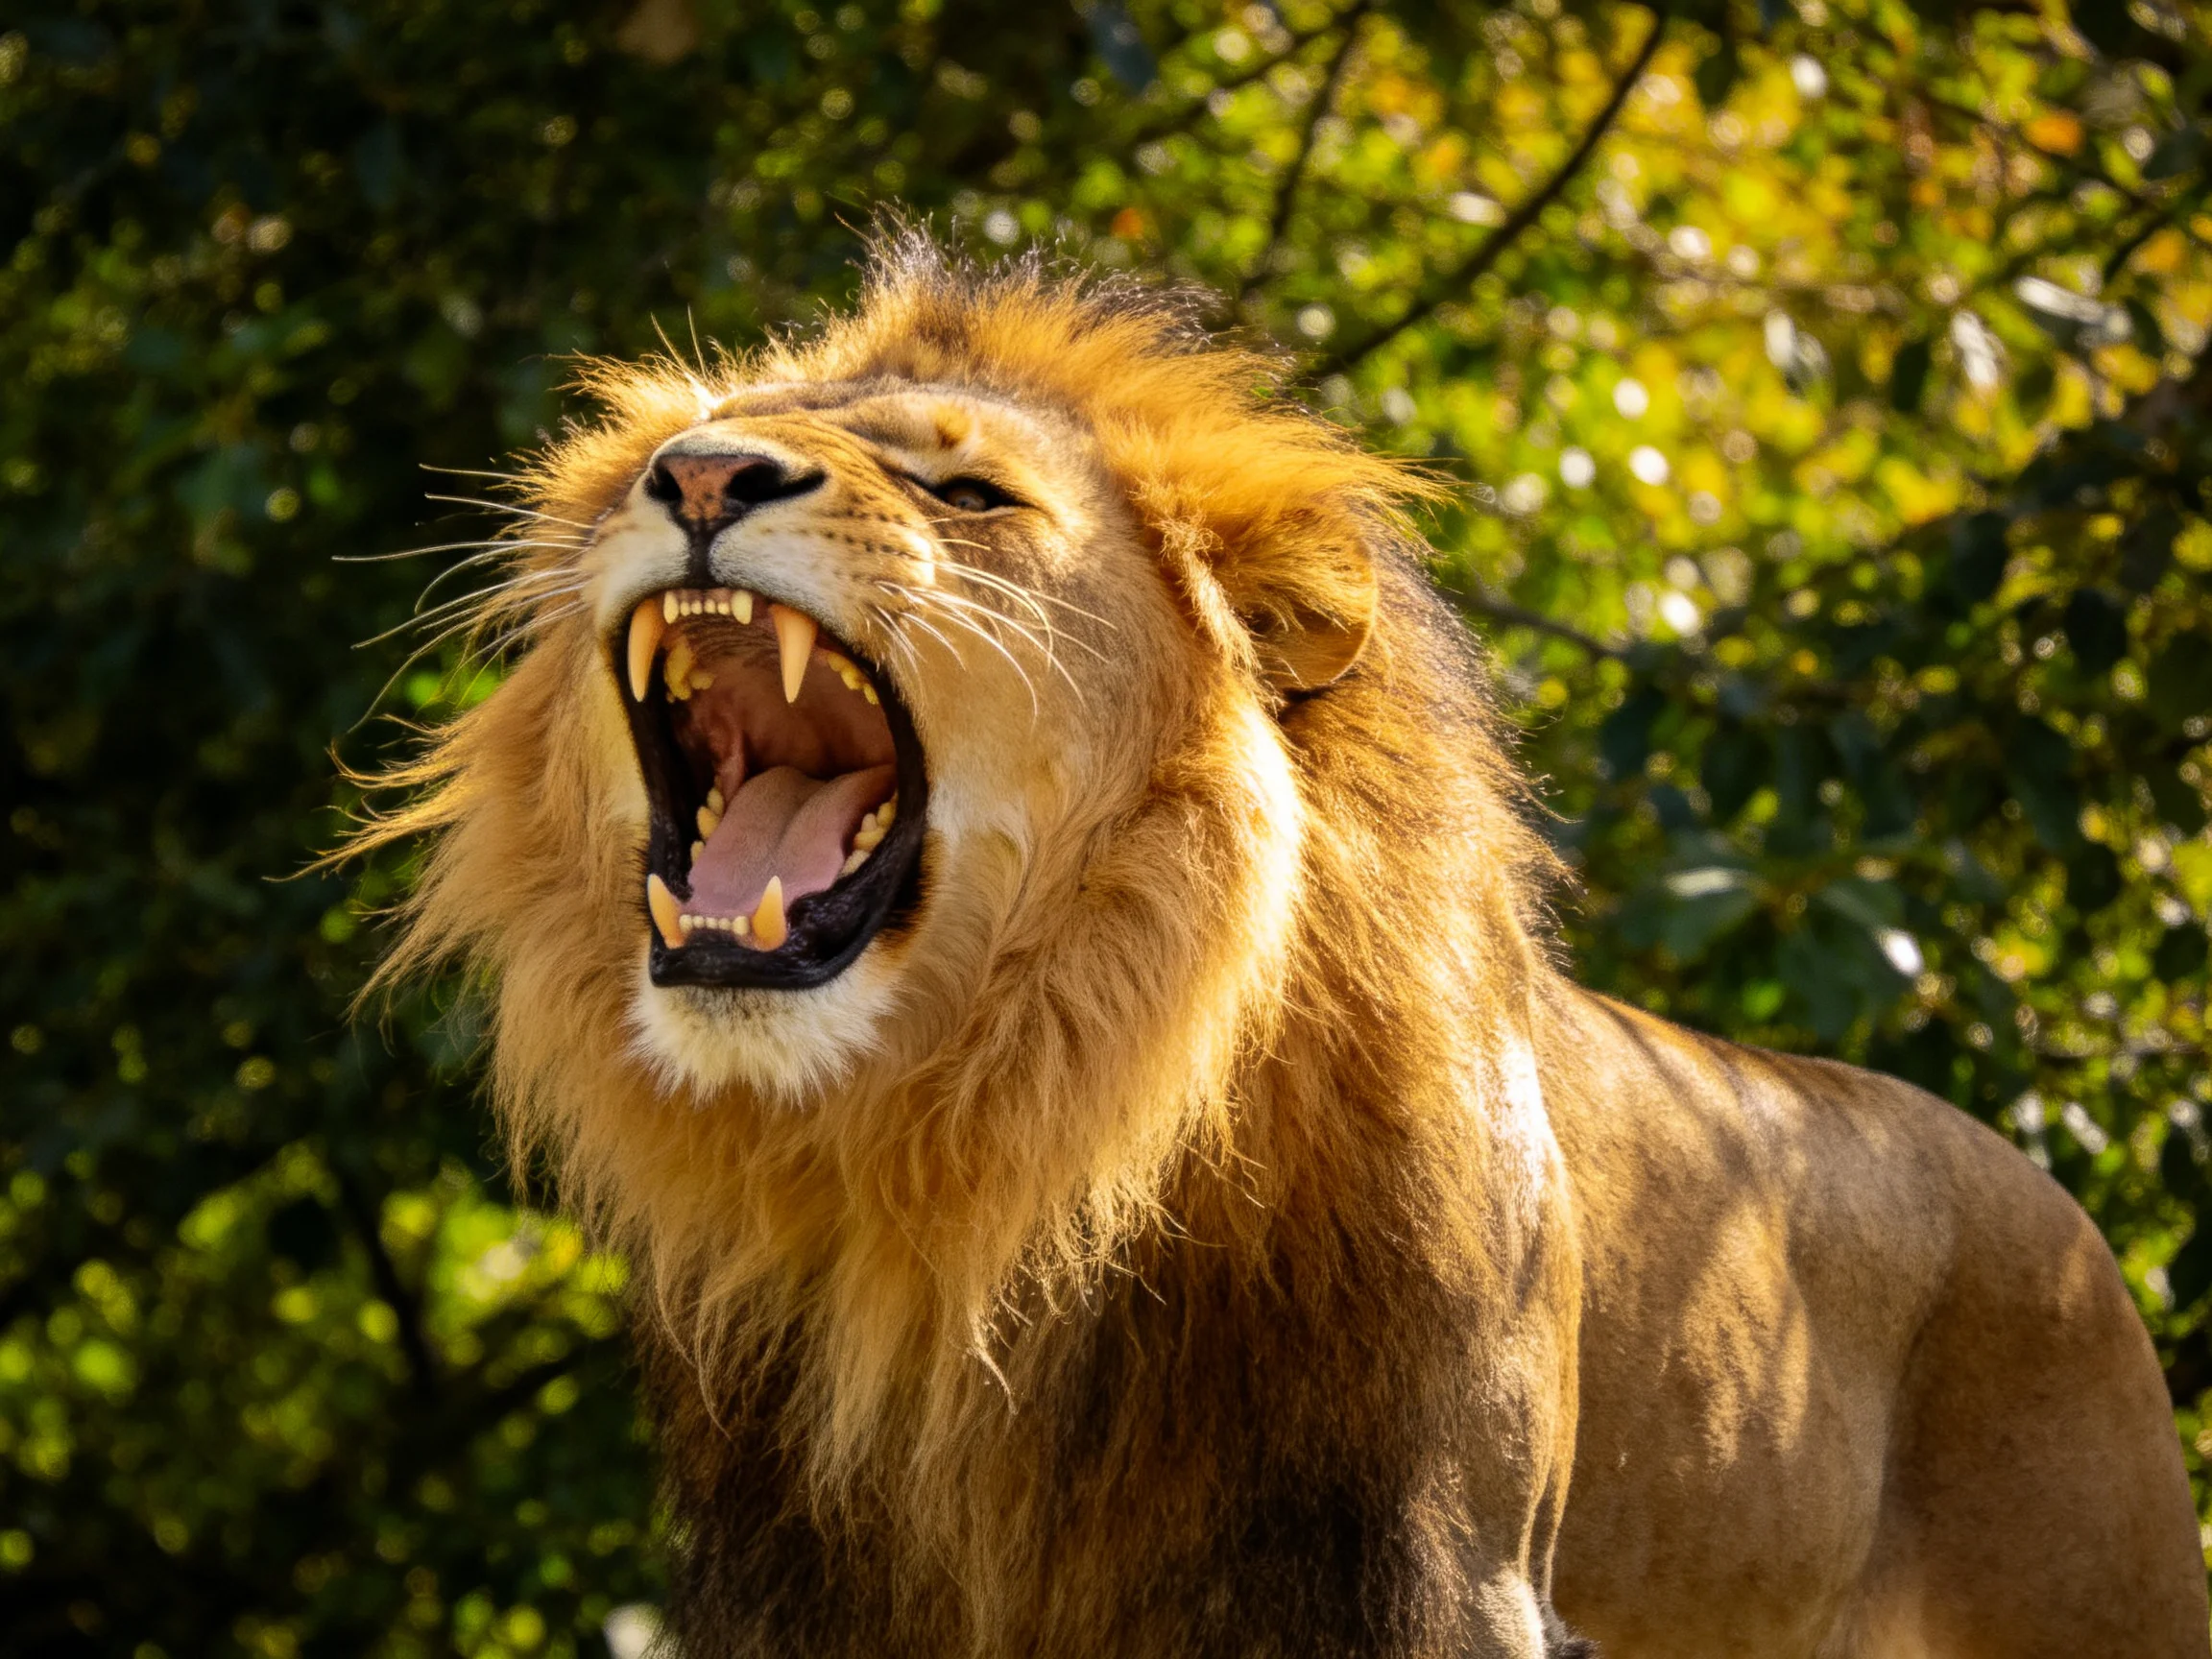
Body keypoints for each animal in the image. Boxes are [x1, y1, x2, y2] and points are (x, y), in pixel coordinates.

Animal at [357, 236, 2207, 1657]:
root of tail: (2043, 1198)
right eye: (678, 444)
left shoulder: (1418, 1570)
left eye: (969, 491)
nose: (700, 477)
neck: (964, 1169)